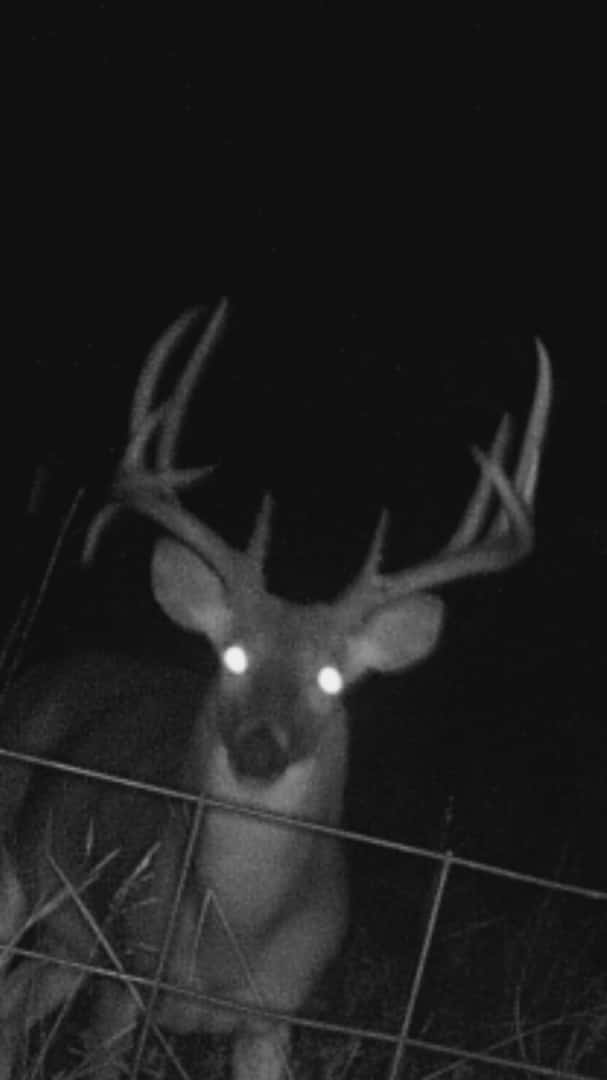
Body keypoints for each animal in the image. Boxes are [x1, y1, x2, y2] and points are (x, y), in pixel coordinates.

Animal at [0, 302, 552, 1079]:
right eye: (233, 656)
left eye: (330, 677)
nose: (260, 748)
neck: (230, 944)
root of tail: (44, 672)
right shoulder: (129, 971)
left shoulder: (274, 1017)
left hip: (66, 947)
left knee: (11, 1010)